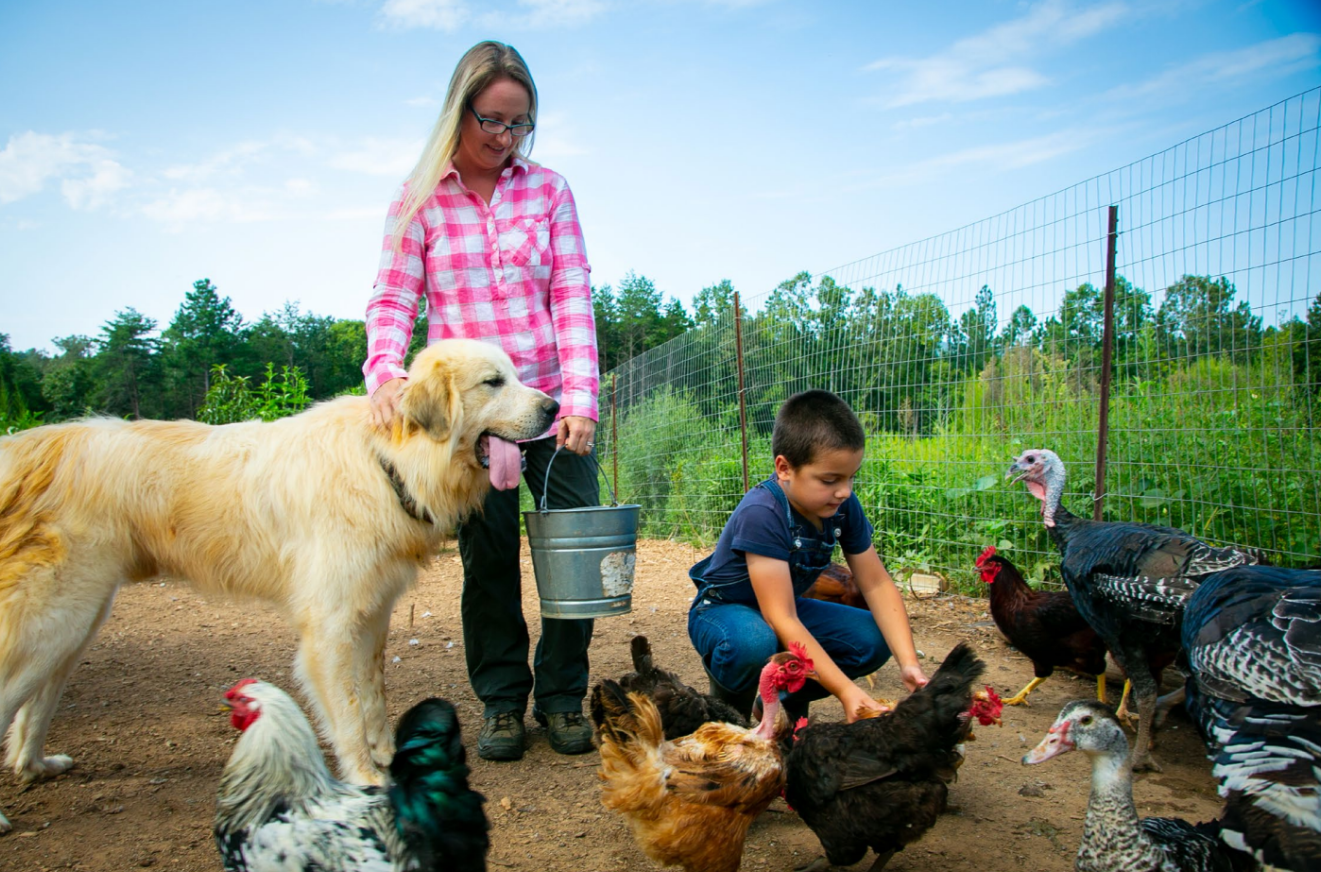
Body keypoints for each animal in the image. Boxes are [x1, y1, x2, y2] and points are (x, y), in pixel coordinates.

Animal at [0, 338, 557, 829]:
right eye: (493, 382)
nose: (555, 407)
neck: (387, 461)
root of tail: (32, 448)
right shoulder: (329, 629)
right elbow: (347, 714)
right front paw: (366, 777)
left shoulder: (372, 614)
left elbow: (374, 693)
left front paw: (385, 752)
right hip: (56, 619)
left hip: (77, 623)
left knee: (35, 703)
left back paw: (35, 765)